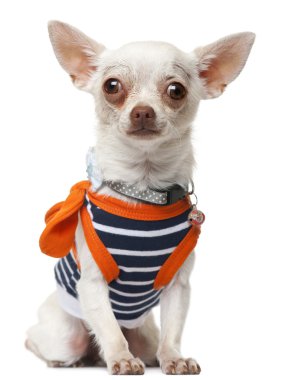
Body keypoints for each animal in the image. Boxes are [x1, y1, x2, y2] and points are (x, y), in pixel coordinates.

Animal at [24, 21, 254, 374]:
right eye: (112, 86)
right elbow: (109, 328)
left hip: (143, 334)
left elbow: (173, 329)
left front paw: (174, 358)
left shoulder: (178, 286)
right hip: (65, 334)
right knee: (41, 339)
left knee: (146, 344)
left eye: (176, 90)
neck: (142, 190)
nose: (142, 112)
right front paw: (120, 358)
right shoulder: (92, 285)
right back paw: (68, 359)